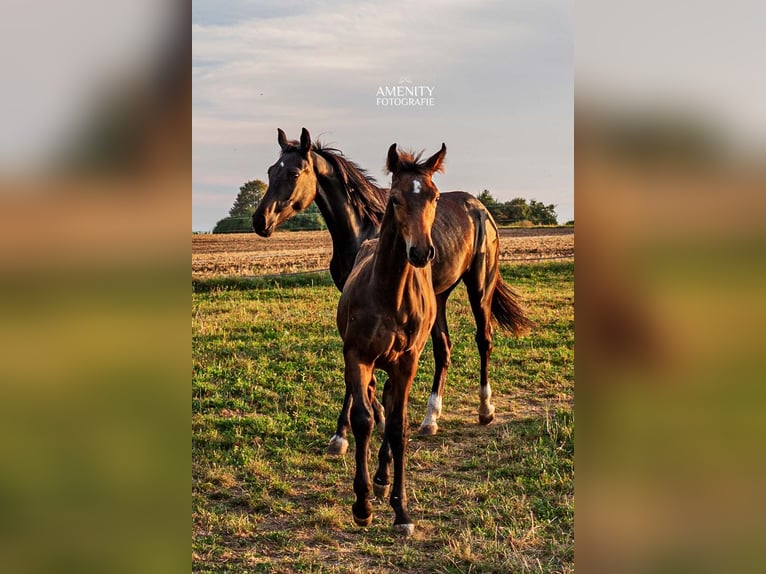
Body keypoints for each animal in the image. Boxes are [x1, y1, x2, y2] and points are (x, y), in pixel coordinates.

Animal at [255, 128, 532, 452]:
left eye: (294, 172)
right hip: (439, 297)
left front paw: (343, 434)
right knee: (444, 348)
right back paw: (431, 418)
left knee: (483, 339)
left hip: (479, 285)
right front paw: (372, 420)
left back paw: (485, 410)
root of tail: (481, 209)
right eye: (271, 171)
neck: (362, 228)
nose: (260, 220)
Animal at [340, 144, 448, 536]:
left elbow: (399, 428)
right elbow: (363, 419)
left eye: (434, 196)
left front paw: (401, 512)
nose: (421, 252)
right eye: (396, 199)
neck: (389, 294)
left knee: (387, 405)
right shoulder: (358, 356)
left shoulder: (407, 362)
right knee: (376, 404)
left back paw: (384, 477)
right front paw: (362, 505)